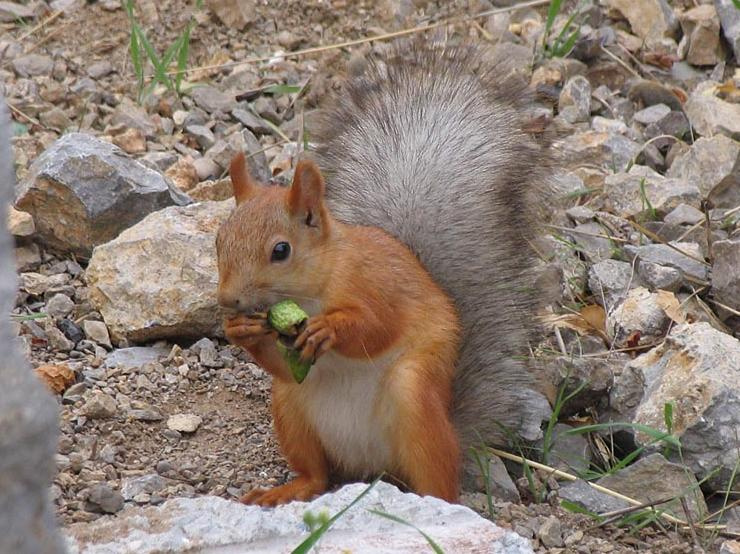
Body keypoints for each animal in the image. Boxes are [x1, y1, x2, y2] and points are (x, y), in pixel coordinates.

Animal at [216, 42, 553, 506]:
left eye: (280, 250)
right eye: (219, 240)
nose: (227, 300)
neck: (317, 285)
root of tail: (372, 468)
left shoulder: (379, 284)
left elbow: (379, 328)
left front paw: (330, 328)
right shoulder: (290, 364)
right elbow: (282, 365)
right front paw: (240, 331)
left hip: (415, 400)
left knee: (438, 480)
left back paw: (434, 502)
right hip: (290, 406)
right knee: (316, 474)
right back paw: (288, 489)